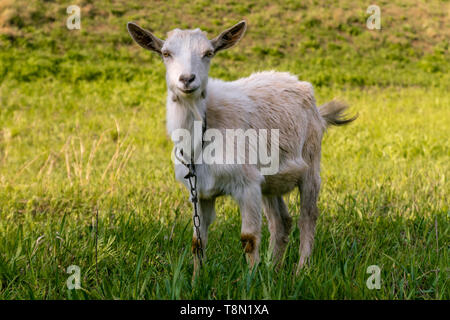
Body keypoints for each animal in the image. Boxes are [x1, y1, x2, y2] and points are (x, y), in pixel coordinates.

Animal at [126, 20, 356, 276]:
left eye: (208, 53)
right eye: (166, 53)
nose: (187, 79)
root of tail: (301, 84)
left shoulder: (247, 184)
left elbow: (249, 238)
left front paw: (252, 279)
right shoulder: (200, 191)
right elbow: (197, 241)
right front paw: (196, 278)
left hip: (311, 161)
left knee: (308, 216)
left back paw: (301, 270)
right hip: (270, 180)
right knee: (281, 222)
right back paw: (274, 269)